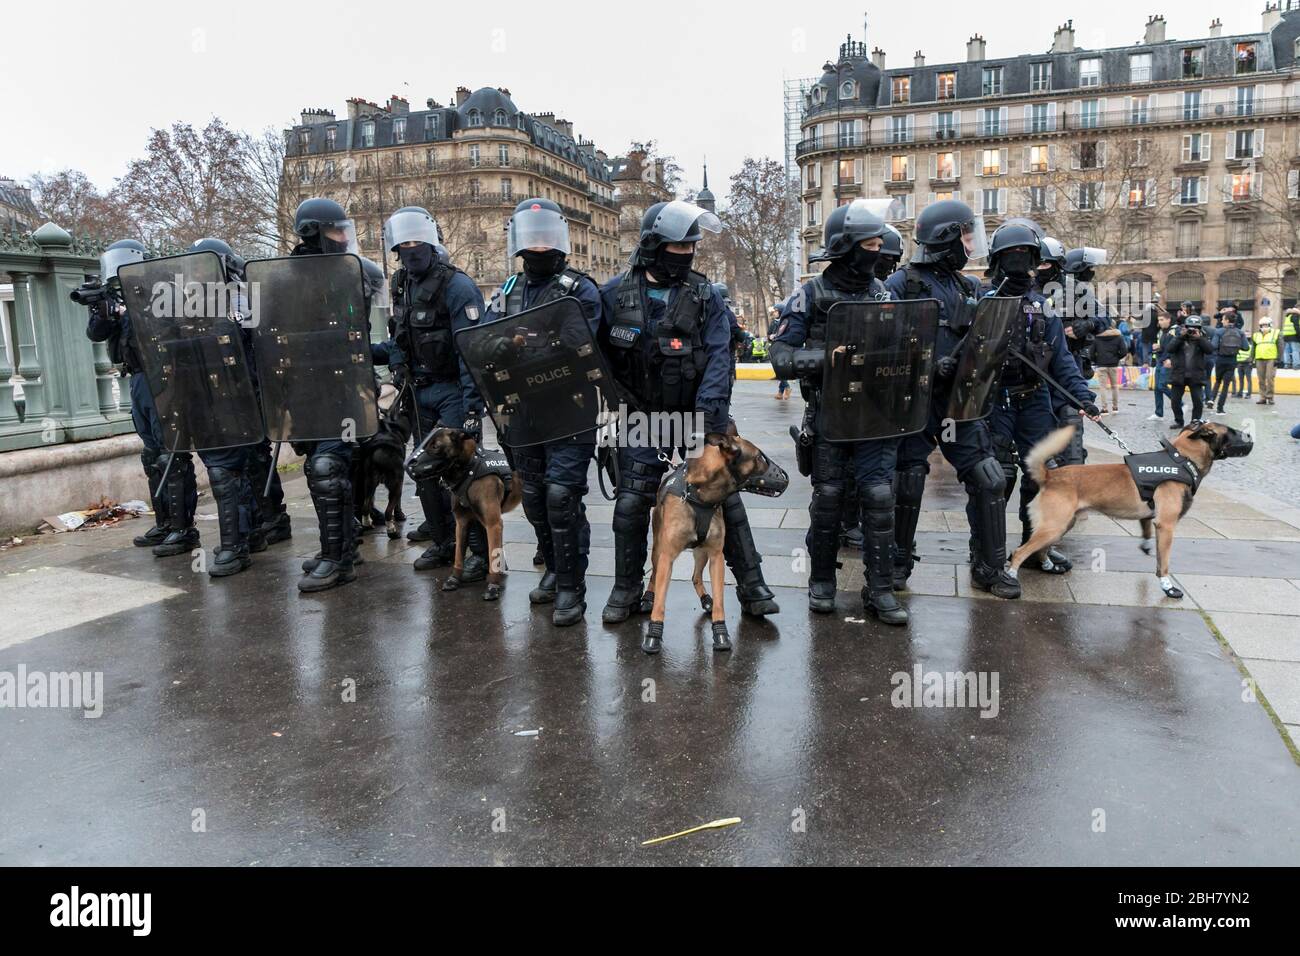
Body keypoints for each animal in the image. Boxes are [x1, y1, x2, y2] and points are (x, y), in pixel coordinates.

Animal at [410, 429, 522, 600]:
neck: (470, 468)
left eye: (435, 446)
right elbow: (458, 555)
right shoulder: (462, 522)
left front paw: (493, 586)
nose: (410, 465)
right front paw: (454, 579)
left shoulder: (494, 524)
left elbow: (493, 556)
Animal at [642, 434, 785, 658]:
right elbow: (660, 603)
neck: (700, 495)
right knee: (654, 575)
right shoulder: (667, 557)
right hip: (658, 551)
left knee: (695, 576)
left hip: (702, 553)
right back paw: (648, 597)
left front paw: (721, 634)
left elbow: (720, 602)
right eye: (758, 457)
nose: (786, 478)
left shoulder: (717, 557)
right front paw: (653, 635)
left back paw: (705, 599)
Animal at [1013, 421, 1248, 598]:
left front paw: (1147, 549)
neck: (1182, 460)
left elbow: (1152, 546)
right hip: (1054, 527)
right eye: (1232, 431)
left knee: (1039, 550)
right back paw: (1011, 577)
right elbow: (1165, 563)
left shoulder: (1153, 522)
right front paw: (1168, 587)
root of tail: (1050, 476)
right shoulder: (1167, 526)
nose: (1249, 436)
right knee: (1019, 552)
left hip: (1060, 527)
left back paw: (1049, 567)